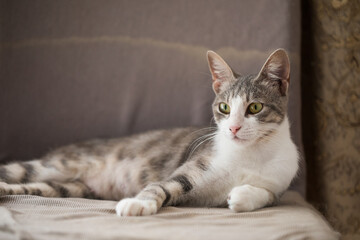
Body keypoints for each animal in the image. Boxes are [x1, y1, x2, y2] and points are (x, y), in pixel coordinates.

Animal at [0, 48, 298, 216]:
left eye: (255, 107)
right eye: (224, 107)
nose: (234, 127)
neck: (249, 153)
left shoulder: (280, 180)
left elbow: (268, 195)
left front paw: (243, 196)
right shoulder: (192, 168)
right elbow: (161, 186)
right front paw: (137, 204)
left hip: (70, 187)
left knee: (37, 187)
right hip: (59, 164)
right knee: (19, 170)